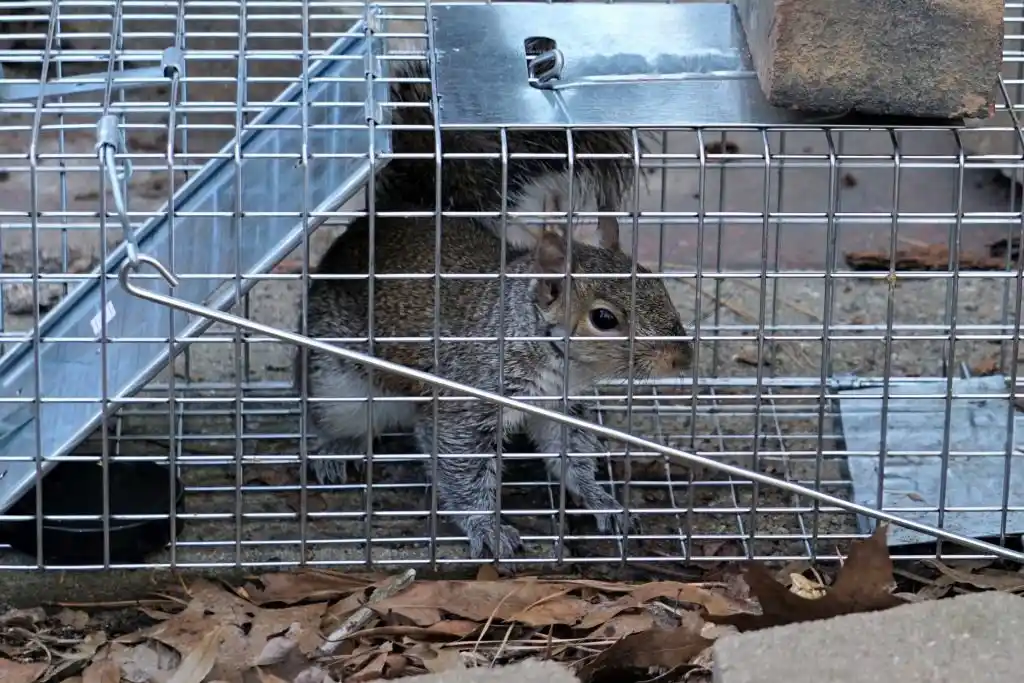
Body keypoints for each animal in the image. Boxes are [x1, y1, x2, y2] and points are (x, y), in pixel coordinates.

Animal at [292, 60, 688, 561]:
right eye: (604, 319)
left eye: (656, 282)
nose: (682, 357)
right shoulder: (466, 397)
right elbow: (463, 467)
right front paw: (487, 527)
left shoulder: (560, 405)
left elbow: (570, 452)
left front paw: (600, 498)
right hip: (335, 382)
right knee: (328, 414)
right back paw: (333, 449)